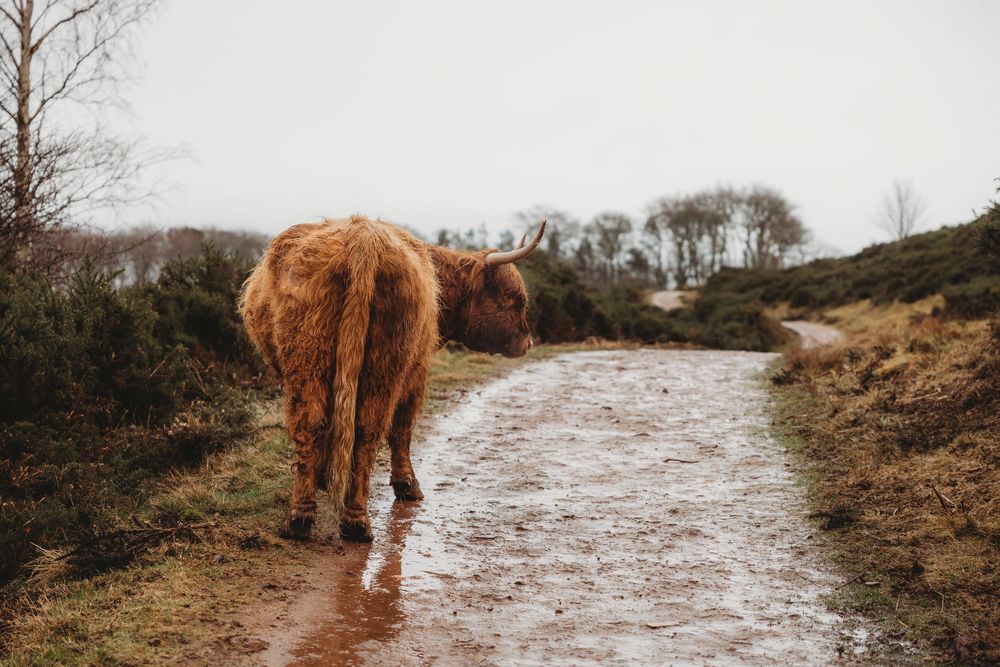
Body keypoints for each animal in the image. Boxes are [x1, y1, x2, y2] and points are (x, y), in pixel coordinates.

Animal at [238, 215, 545, 541]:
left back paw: (314, 517)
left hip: (317, 358)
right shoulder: (418, 370)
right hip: (380, 363)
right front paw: (405, 485)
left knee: (331, 425)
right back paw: (350, 518)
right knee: (367, 427)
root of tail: (363, 237)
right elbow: (402, 428)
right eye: (515, 300)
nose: (528, 341)